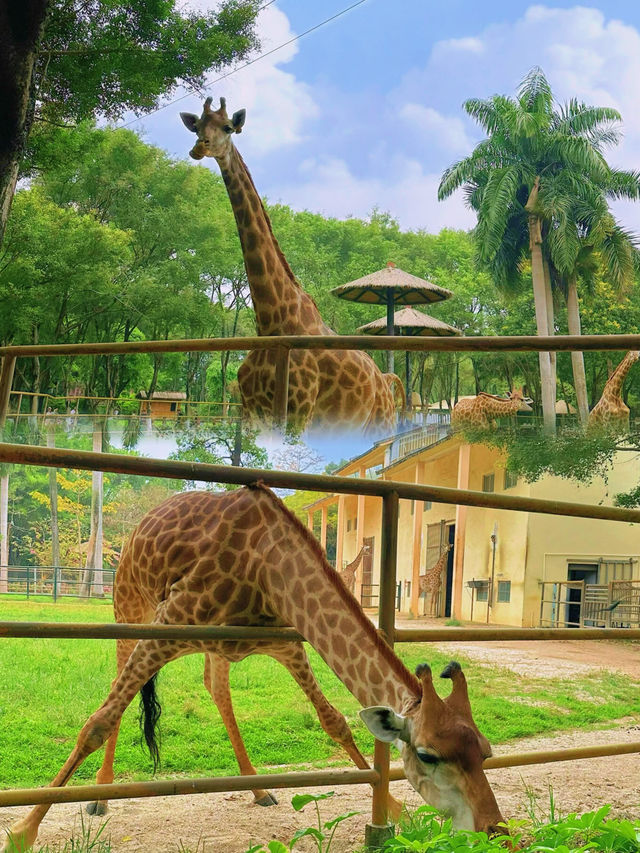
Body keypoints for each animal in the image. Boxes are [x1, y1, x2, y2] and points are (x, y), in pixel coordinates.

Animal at [3, 482, 504, 848]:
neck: (268, 572)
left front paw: (397, 812)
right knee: (119, 691)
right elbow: (98, 721)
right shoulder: (168, 622)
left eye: (485, 751)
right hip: (129, 609)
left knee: (215, 686)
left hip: (212, 646)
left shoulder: (287, 645)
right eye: (427, 755)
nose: (494, 829)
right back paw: (101, 796)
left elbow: (334, 721)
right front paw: (23, 832)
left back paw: (260, 789)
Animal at [180, 97, 402, 436]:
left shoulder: (298, 413)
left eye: (228, 127)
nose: (199, 147)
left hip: (380, 426)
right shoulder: (251, 412)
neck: (271, 321)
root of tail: (383, 379)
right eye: (198, 126)